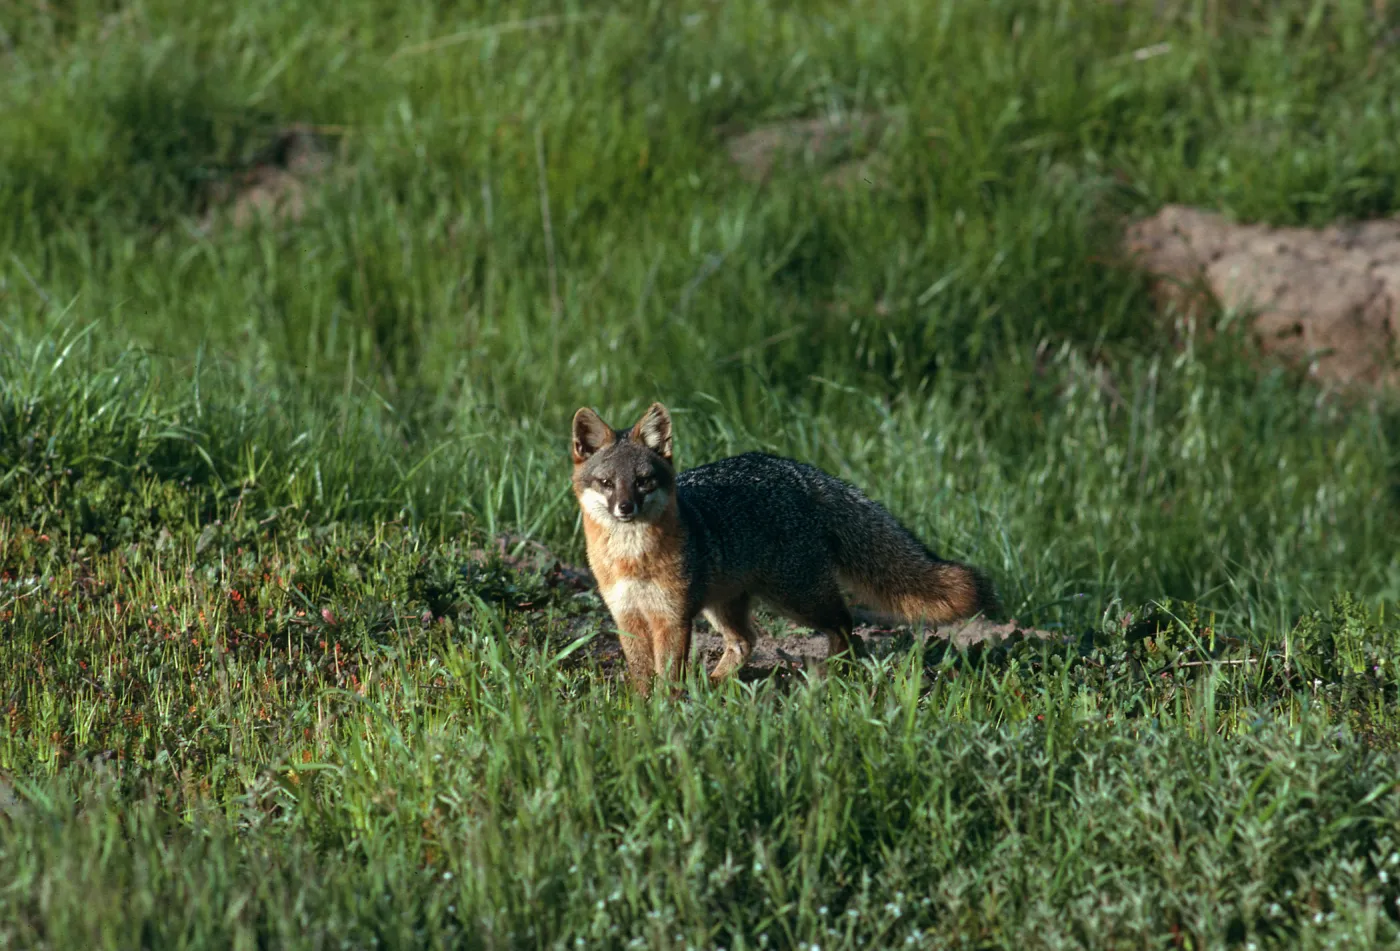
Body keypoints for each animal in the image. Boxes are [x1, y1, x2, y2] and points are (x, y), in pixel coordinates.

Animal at [570, 402, 999, 694]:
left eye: (643, 481)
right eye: (607, 483)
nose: (625, 508)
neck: (633, 561)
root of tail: (797, 471)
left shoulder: (672, 618)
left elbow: (668, 673)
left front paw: (666, 707)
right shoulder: (628, 617)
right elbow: (643, 674)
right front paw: (645, 707)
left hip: (797, 598)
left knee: (845, 623)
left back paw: (835, 672)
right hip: (724, 605)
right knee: (746, 641)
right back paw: (716, 682)